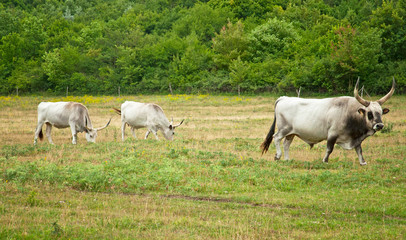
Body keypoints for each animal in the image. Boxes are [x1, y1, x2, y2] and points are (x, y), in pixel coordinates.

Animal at [262, 78, 394, 165]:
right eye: (369, 113)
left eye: (381, 112)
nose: (379, 125)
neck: (350, 113)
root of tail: (283, 98)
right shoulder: (332, 134)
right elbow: (329, 148)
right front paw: (325, 160)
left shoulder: (356, 138)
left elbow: (359, 150)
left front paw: (363, 162)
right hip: (284, 129)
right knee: (276, 137)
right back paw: (278, 156)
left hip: (292, 133)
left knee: (286, 143)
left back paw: (287, 159)